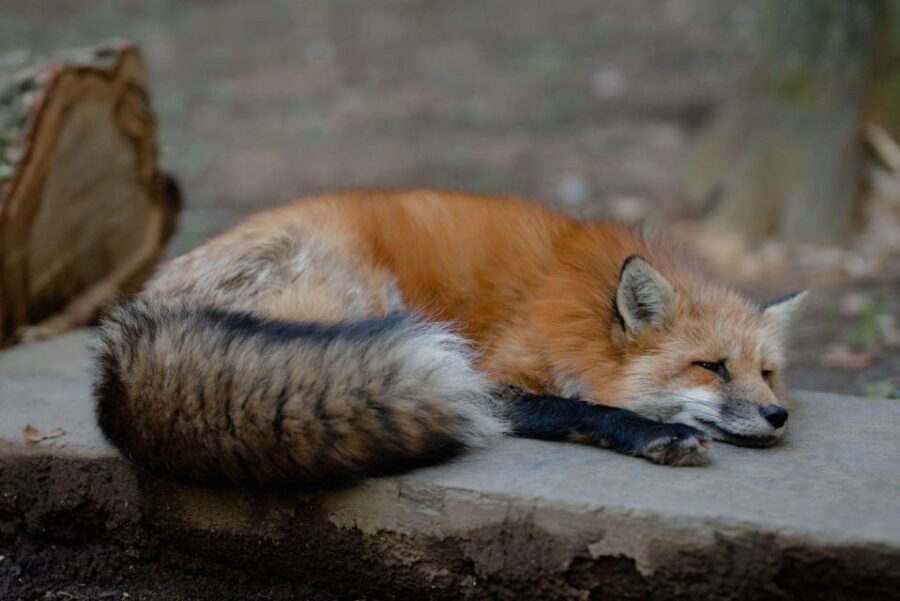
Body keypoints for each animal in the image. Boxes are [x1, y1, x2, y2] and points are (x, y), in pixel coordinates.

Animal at [93, 190, 805, 485]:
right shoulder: (491, 371)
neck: (579, 307)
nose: (778, 416)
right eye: (711, 367)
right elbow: (575, 406)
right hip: (365, 306)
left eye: (766, 372)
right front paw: (656, 433)